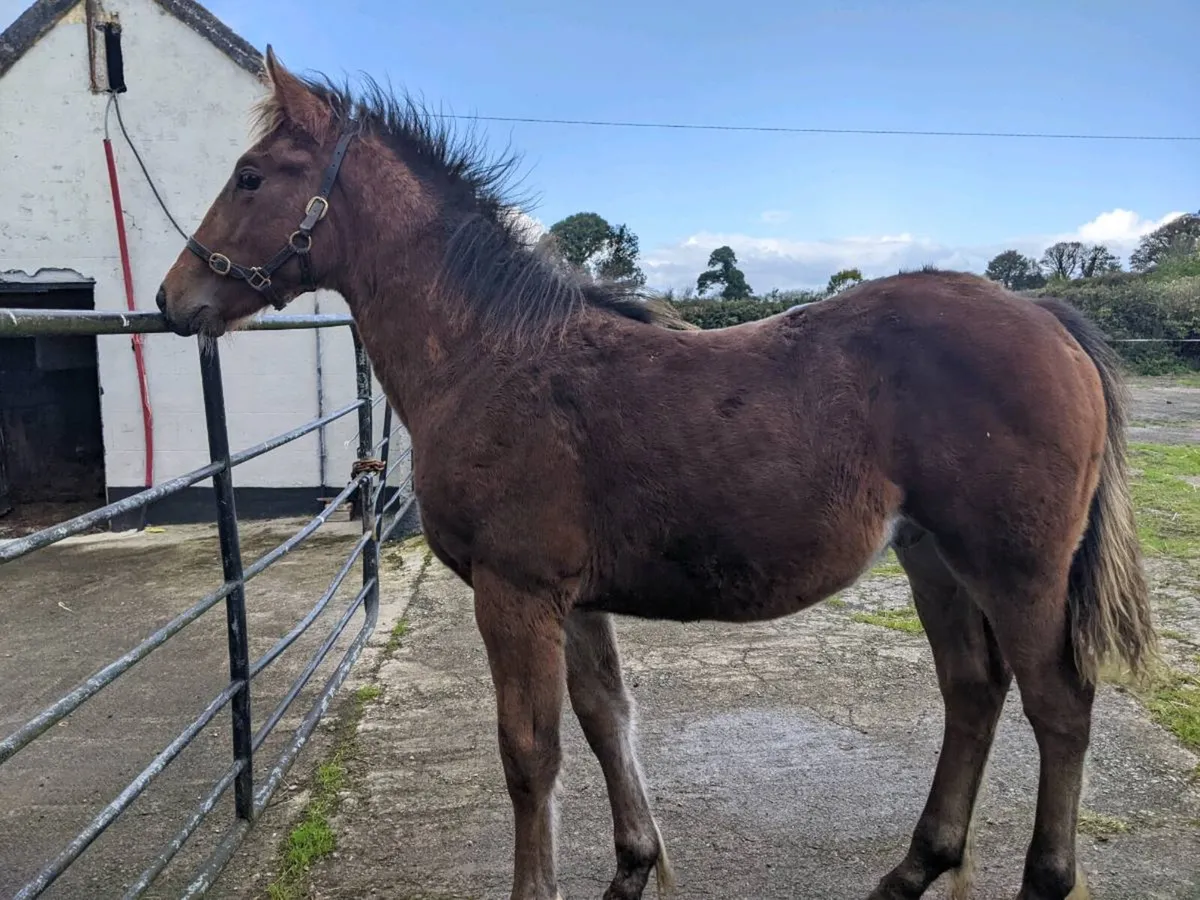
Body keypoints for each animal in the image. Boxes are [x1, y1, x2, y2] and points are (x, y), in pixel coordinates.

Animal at [156, 47, 1155, 900]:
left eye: (251, 177)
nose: (173, 300)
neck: (491, 356)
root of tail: (1045, 314)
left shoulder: (513, 592)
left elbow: (531, 754)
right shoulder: (570, 599)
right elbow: (607, 719)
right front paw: (634, 864)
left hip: (1016, 569)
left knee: (1060, 707)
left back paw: (1041, 879)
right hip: (933, 559)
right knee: (973, 691)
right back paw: (914, 867)